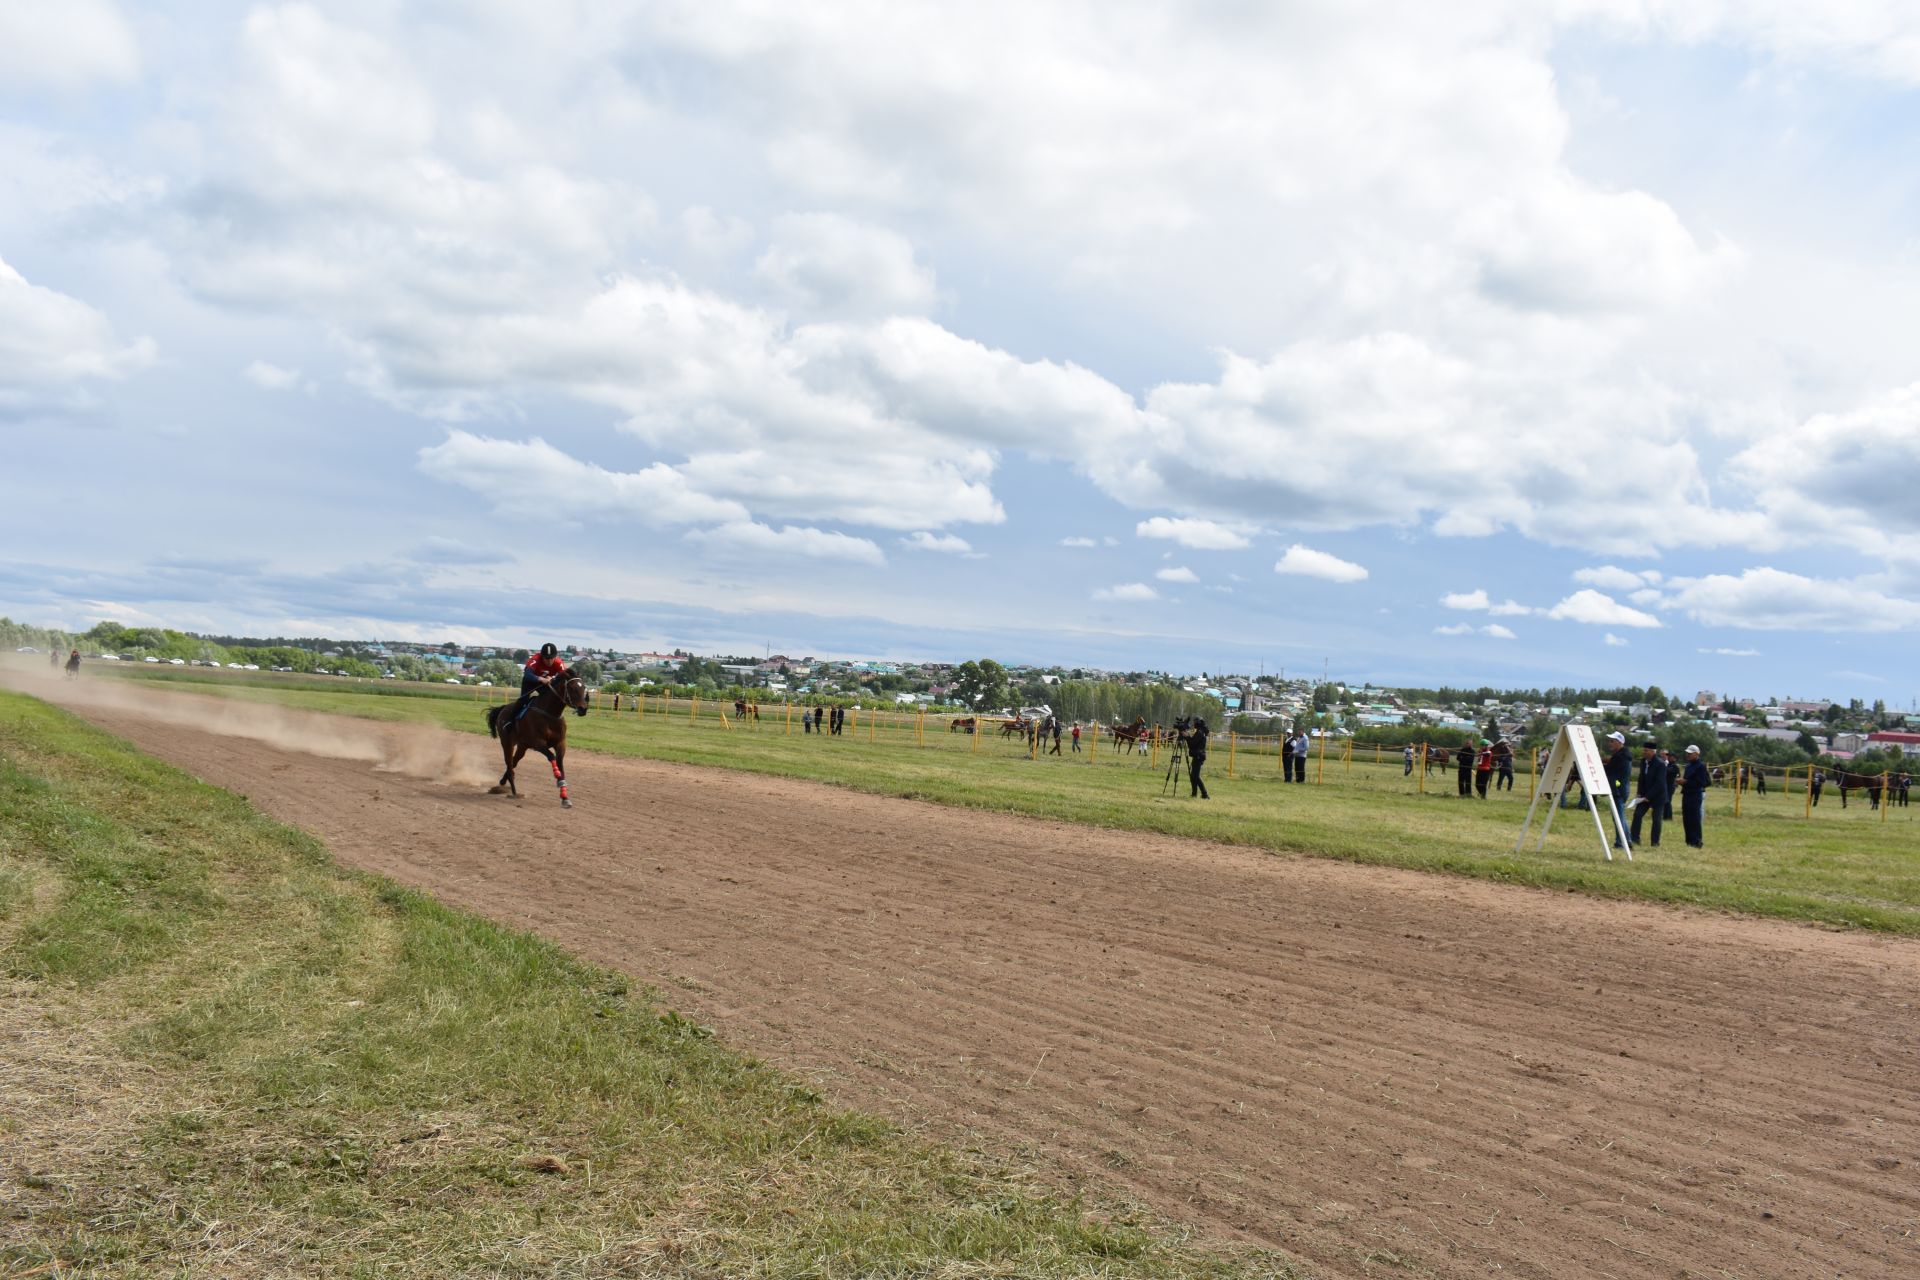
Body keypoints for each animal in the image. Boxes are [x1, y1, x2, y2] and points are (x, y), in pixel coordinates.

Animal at [483, 675, 587, 805]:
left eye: (584, 687)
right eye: (572, 688)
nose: (583, 709)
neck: (549, 713)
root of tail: (503, 708)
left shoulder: (560, 744)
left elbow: (560, 764)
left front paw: (565, 797)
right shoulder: (538, 744)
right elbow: (552, 757)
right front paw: (559, 781)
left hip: (522, 746)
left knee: (513, 762)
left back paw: (502, 782)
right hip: (507, 743)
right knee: (509, 764)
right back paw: (514, 792)